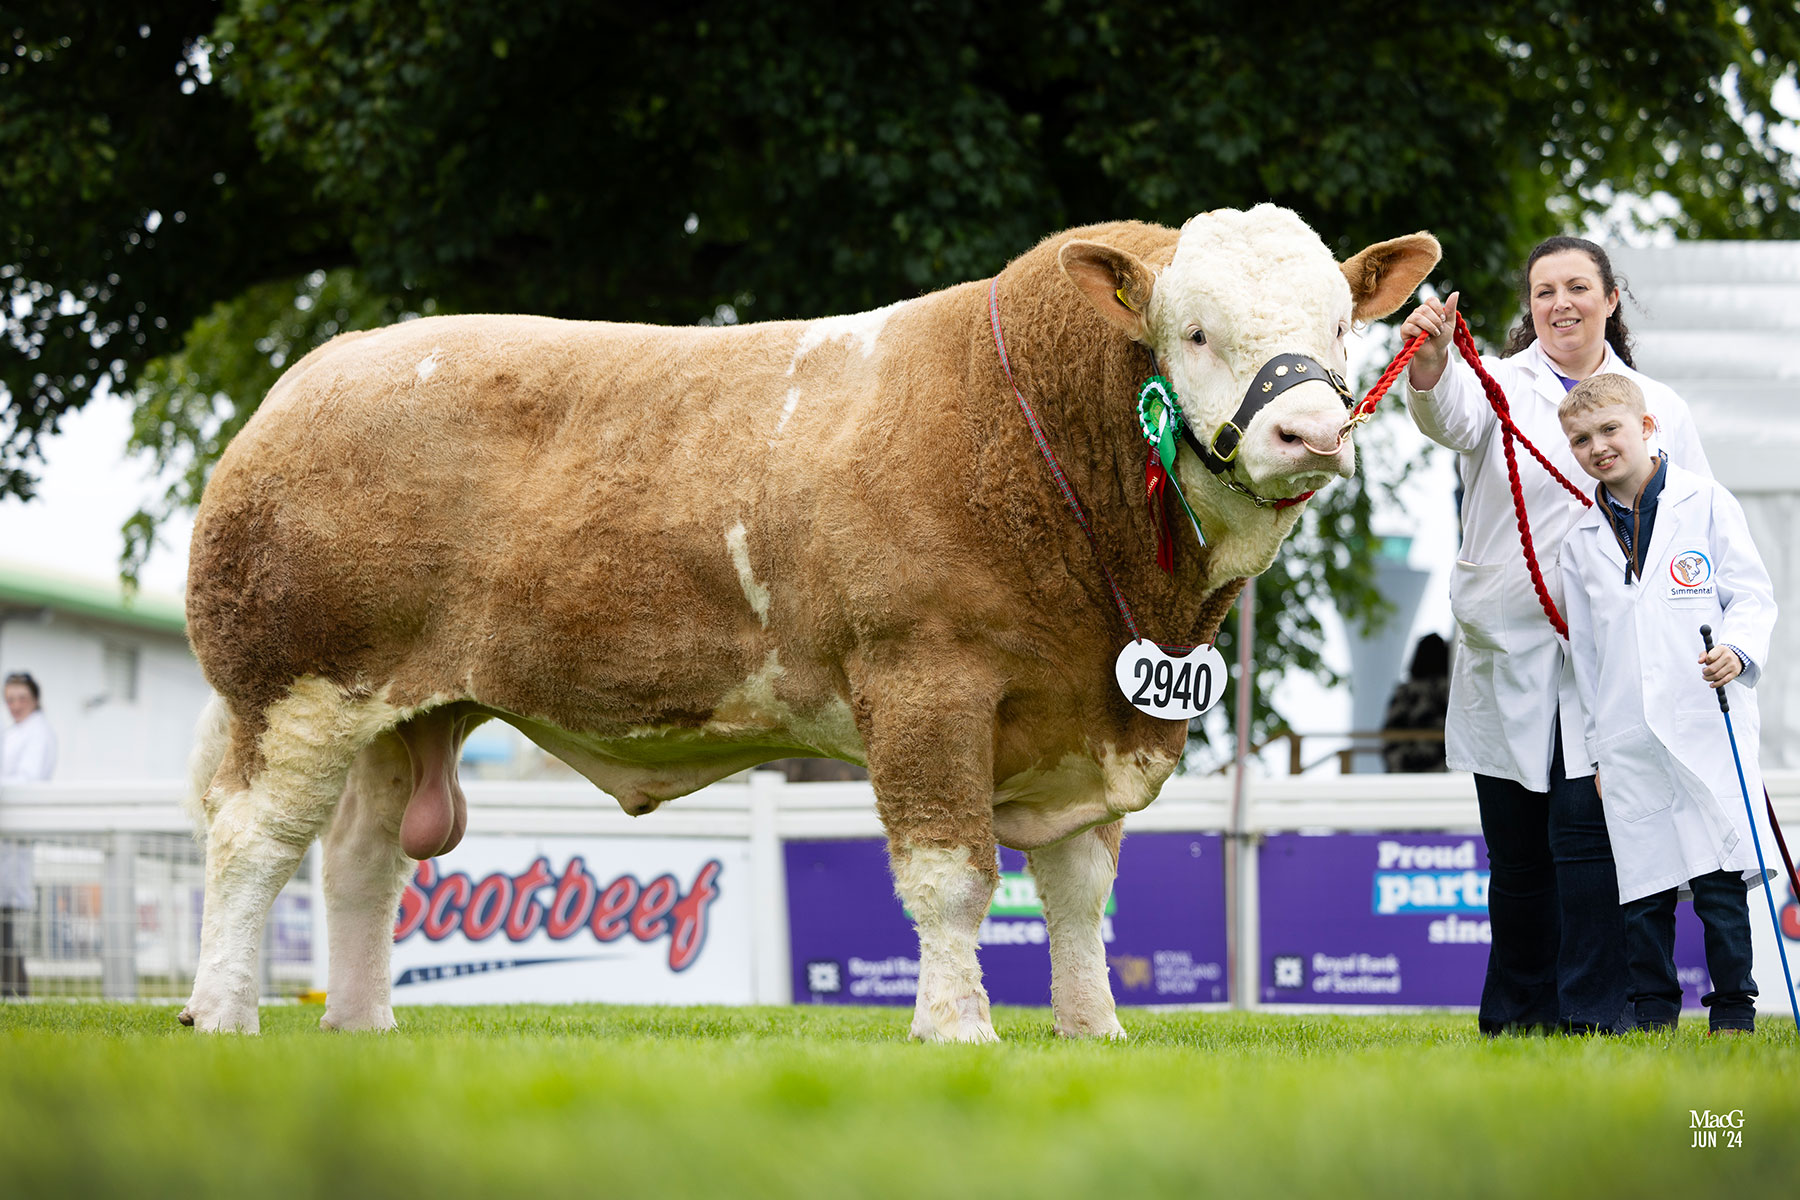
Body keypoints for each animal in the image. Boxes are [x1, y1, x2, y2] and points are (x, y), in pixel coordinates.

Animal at [178, 205, 1438, 1039]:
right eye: (1196, 333)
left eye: (1341, 325)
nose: (1310, 432)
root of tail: (323, 371)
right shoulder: (927, 687)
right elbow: (951, 876)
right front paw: (956, 1028)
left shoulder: (1092, 716)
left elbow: (1081, 895)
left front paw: (1094, 1031)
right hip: (292, 685)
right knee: (253, 844)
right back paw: (224, 1011)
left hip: (398, 712)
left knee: (358, 862)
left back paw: (359, 1026)